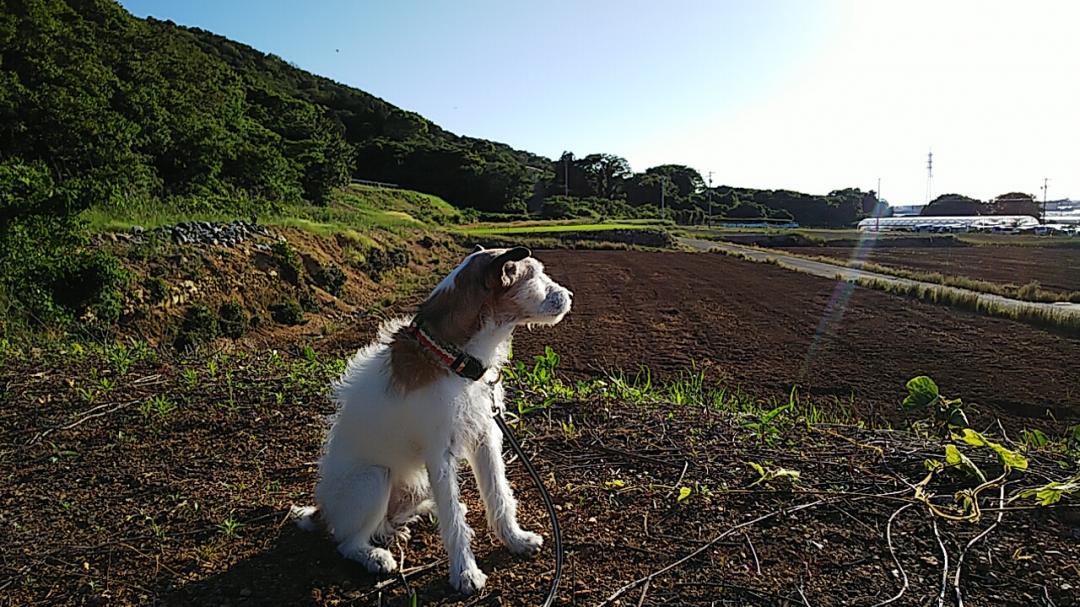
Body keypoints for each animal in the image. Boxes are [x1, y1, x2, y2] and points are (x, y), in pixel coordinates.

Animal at [291, 244, 570, 591]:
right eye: (534, 275)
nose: (569, 296)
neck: (452, 356)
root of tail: (322, 510)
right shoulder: (440, 454)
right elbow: (454, 522)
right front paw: (465, 572)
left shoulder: (485, 438)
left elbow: (499, 495)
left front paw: (515, 539)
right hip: (374, 477)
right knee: (347, 542)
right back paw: (374, 556)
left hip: (416, 482)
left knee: (393, 519)